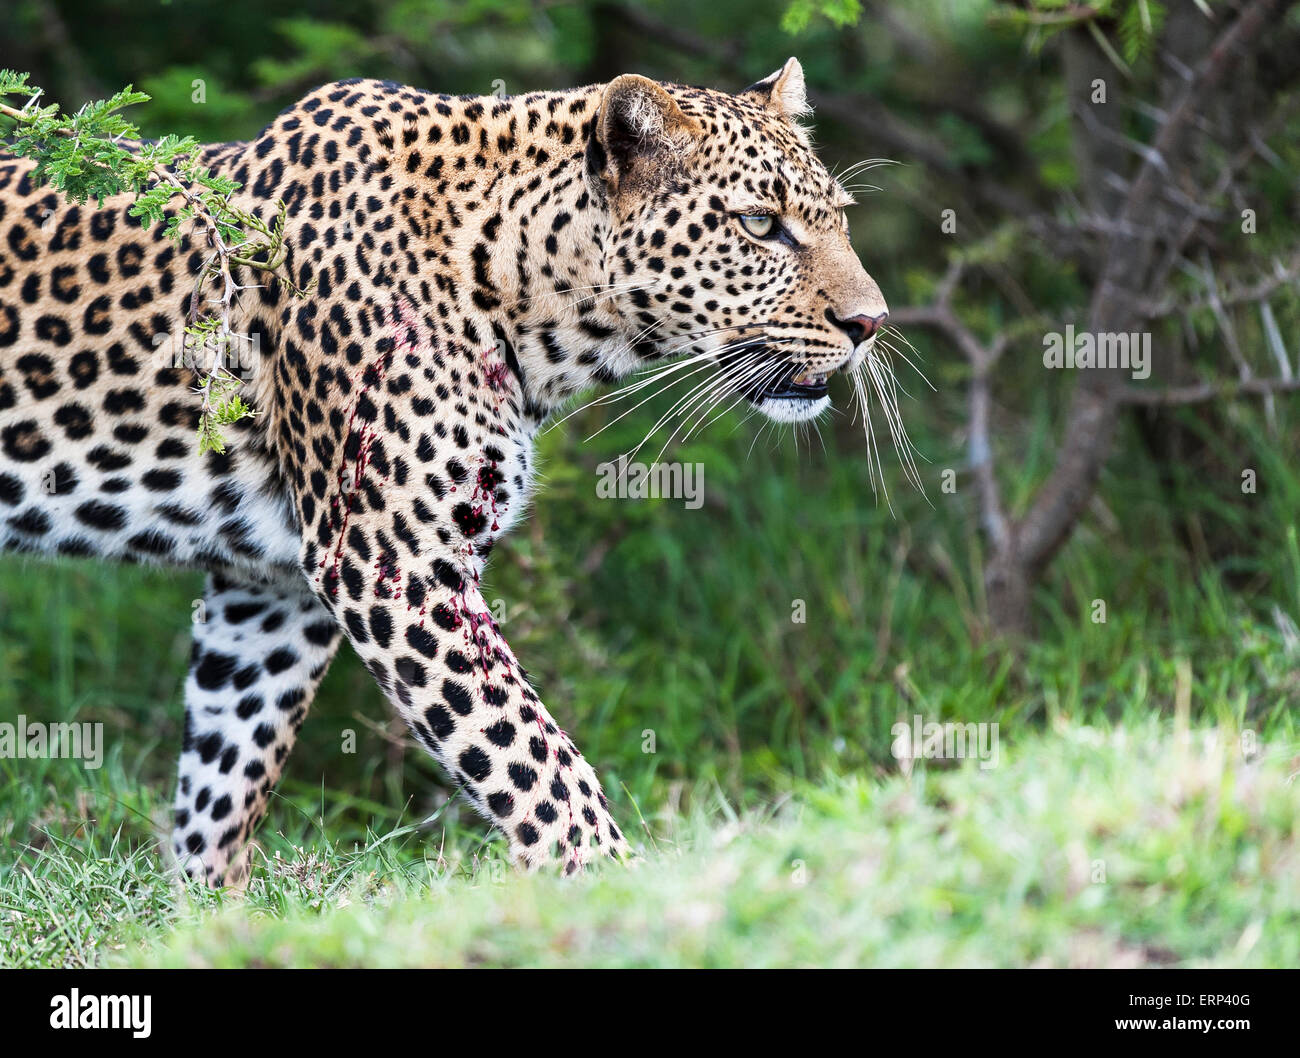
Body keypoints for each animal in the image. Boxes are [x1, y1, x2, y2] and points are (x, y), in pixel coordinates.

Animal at [0, 60, 889, 889]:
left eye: (839, 220)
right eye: (760, 225)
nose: (872, 323)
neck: (533, 305)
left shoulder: (272, 587)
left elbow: (229, 762)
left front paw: (205, 909)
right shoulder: (388, 558)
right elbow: (530, 753)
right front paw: (611, 884)